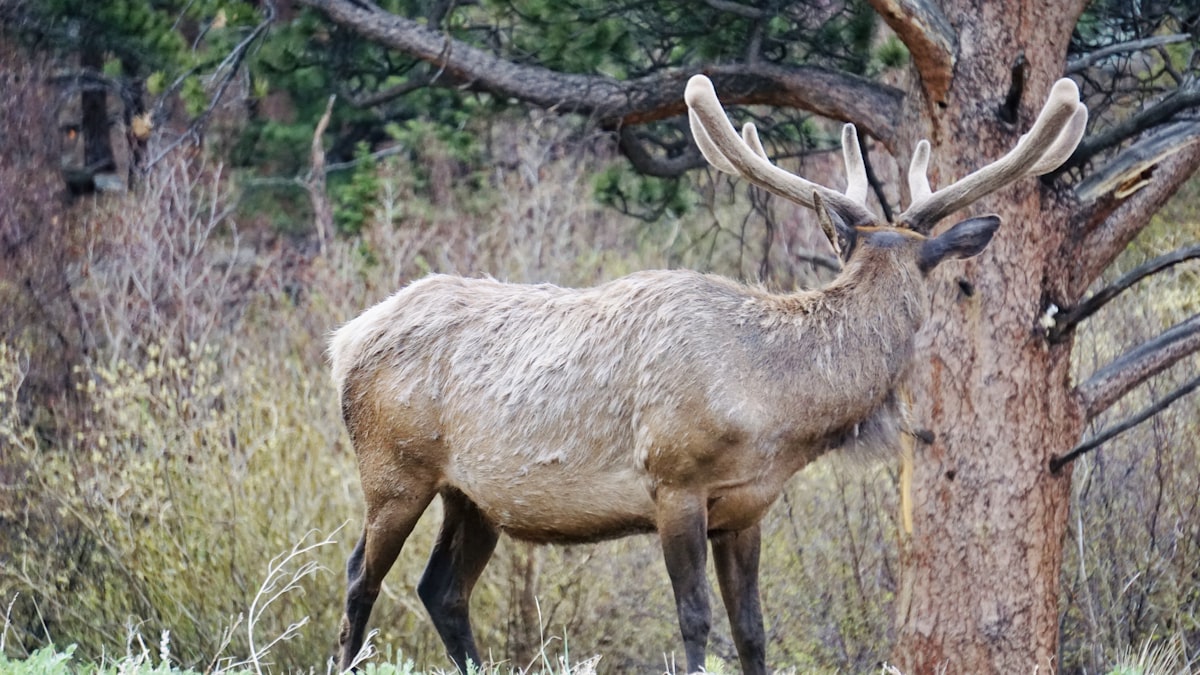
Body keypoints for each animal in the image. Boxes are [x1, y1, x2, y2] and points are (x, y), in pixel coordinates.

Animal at [328, 74, 1087, 674]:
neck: (776, 409)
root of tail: (345, 339)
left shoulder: (747, 506)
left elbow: (751, 630)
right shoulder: (673, 480)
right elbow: (694, 619)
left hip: (475, 496)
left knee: (441, 590)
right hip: (394, 468)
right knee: (360, 577)